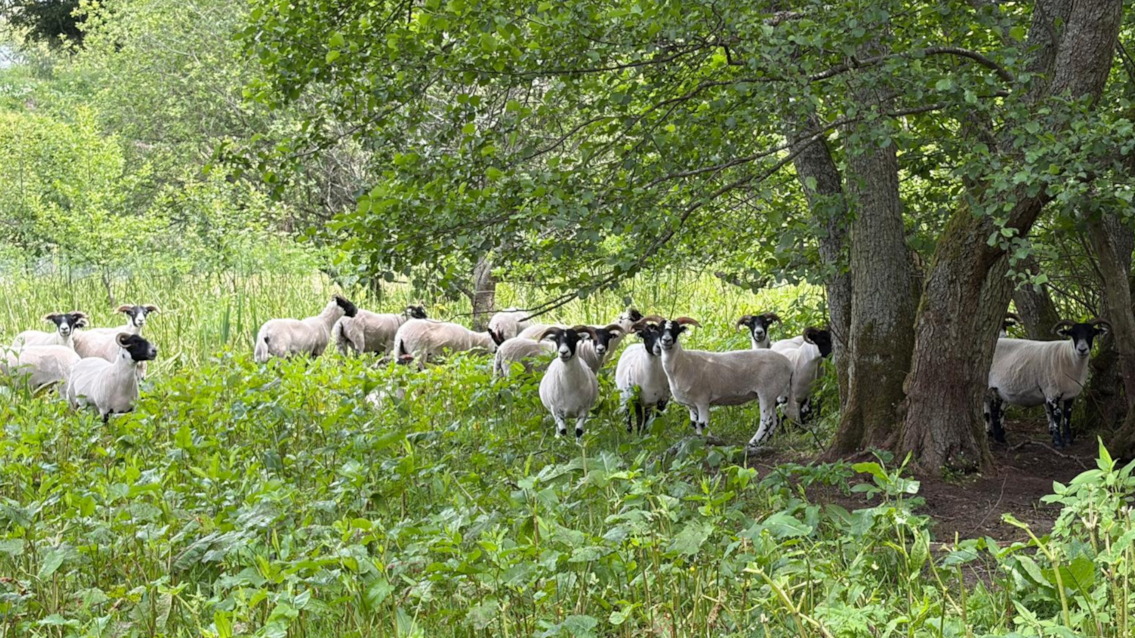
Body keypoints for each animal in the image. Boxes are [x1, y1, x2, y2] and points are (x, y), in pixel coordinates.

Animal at [657, 317, 795, 448]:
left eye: (675, 330)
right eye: (659, 330)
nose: (666, 340)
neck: (682, 363)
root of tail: (788, 364)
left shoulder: (702, 400)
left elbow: (703, 424)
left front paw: (710, 441)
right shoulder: (691, 404)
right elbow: (695, 424)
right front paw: (700, 442)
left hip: (767, 392)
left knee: (766, 421)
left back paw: (752, 443)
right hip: (772, 394)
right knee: (774, 421)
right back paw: (762, 442)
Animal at [985, 319, 1110, 448]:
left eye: (1091, 333)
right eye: (1073, 333)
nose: (1082, 350)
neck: (1067, 357)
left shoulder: (1071, 394)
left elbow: (1067, 415)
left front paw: (1068, 440)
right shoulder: (1052, 392)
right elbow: (1057, 415)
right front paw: (1058, 442)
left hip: (998, 390)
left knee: (995, 410)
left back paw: (1000, 438)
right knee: (992, 410)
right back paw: (997, 436)